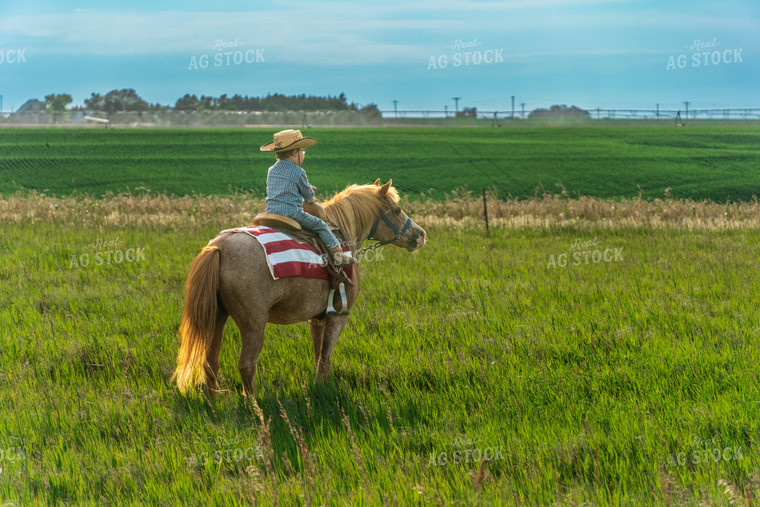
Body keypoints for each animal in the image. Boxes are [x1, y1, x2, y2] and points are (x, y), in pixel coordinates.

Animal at [171, 179, 428, 396]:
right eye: (397, 210)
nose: (421, 235)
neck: (343, 239)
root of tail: (218, 248)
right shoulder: (338, 316)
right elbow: (325, 358)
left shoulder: (317, 318)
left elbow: (318, 355)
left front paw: (319, 386)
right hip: (253, 323)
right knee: (246, 365)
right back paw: (253, 407)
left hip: (217, 316)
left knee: (210, 362)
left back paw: (215, 401)